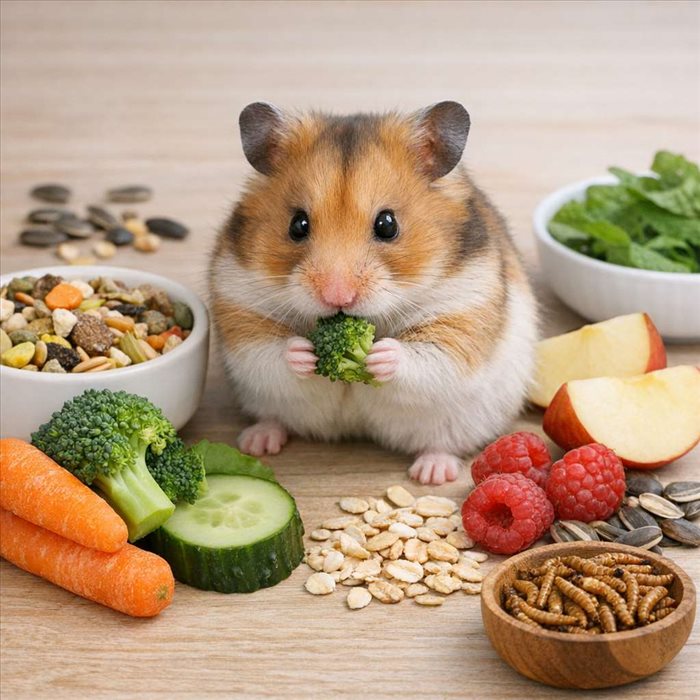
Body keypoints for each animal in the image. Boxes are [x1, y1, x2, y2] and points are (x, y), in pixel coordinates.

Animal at [209, 101, 538, 485]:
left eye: (387, 224)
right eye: (298, 224)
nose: (337, 297)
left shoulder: (464, 314)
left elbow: (430, 356)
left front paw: (378, 356)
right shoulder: (238, 305)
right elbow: (268, 352)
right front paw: (304, 352)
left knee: (442, 444)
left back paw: (431, 473)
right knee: (275, 416)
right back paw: (258, 442)